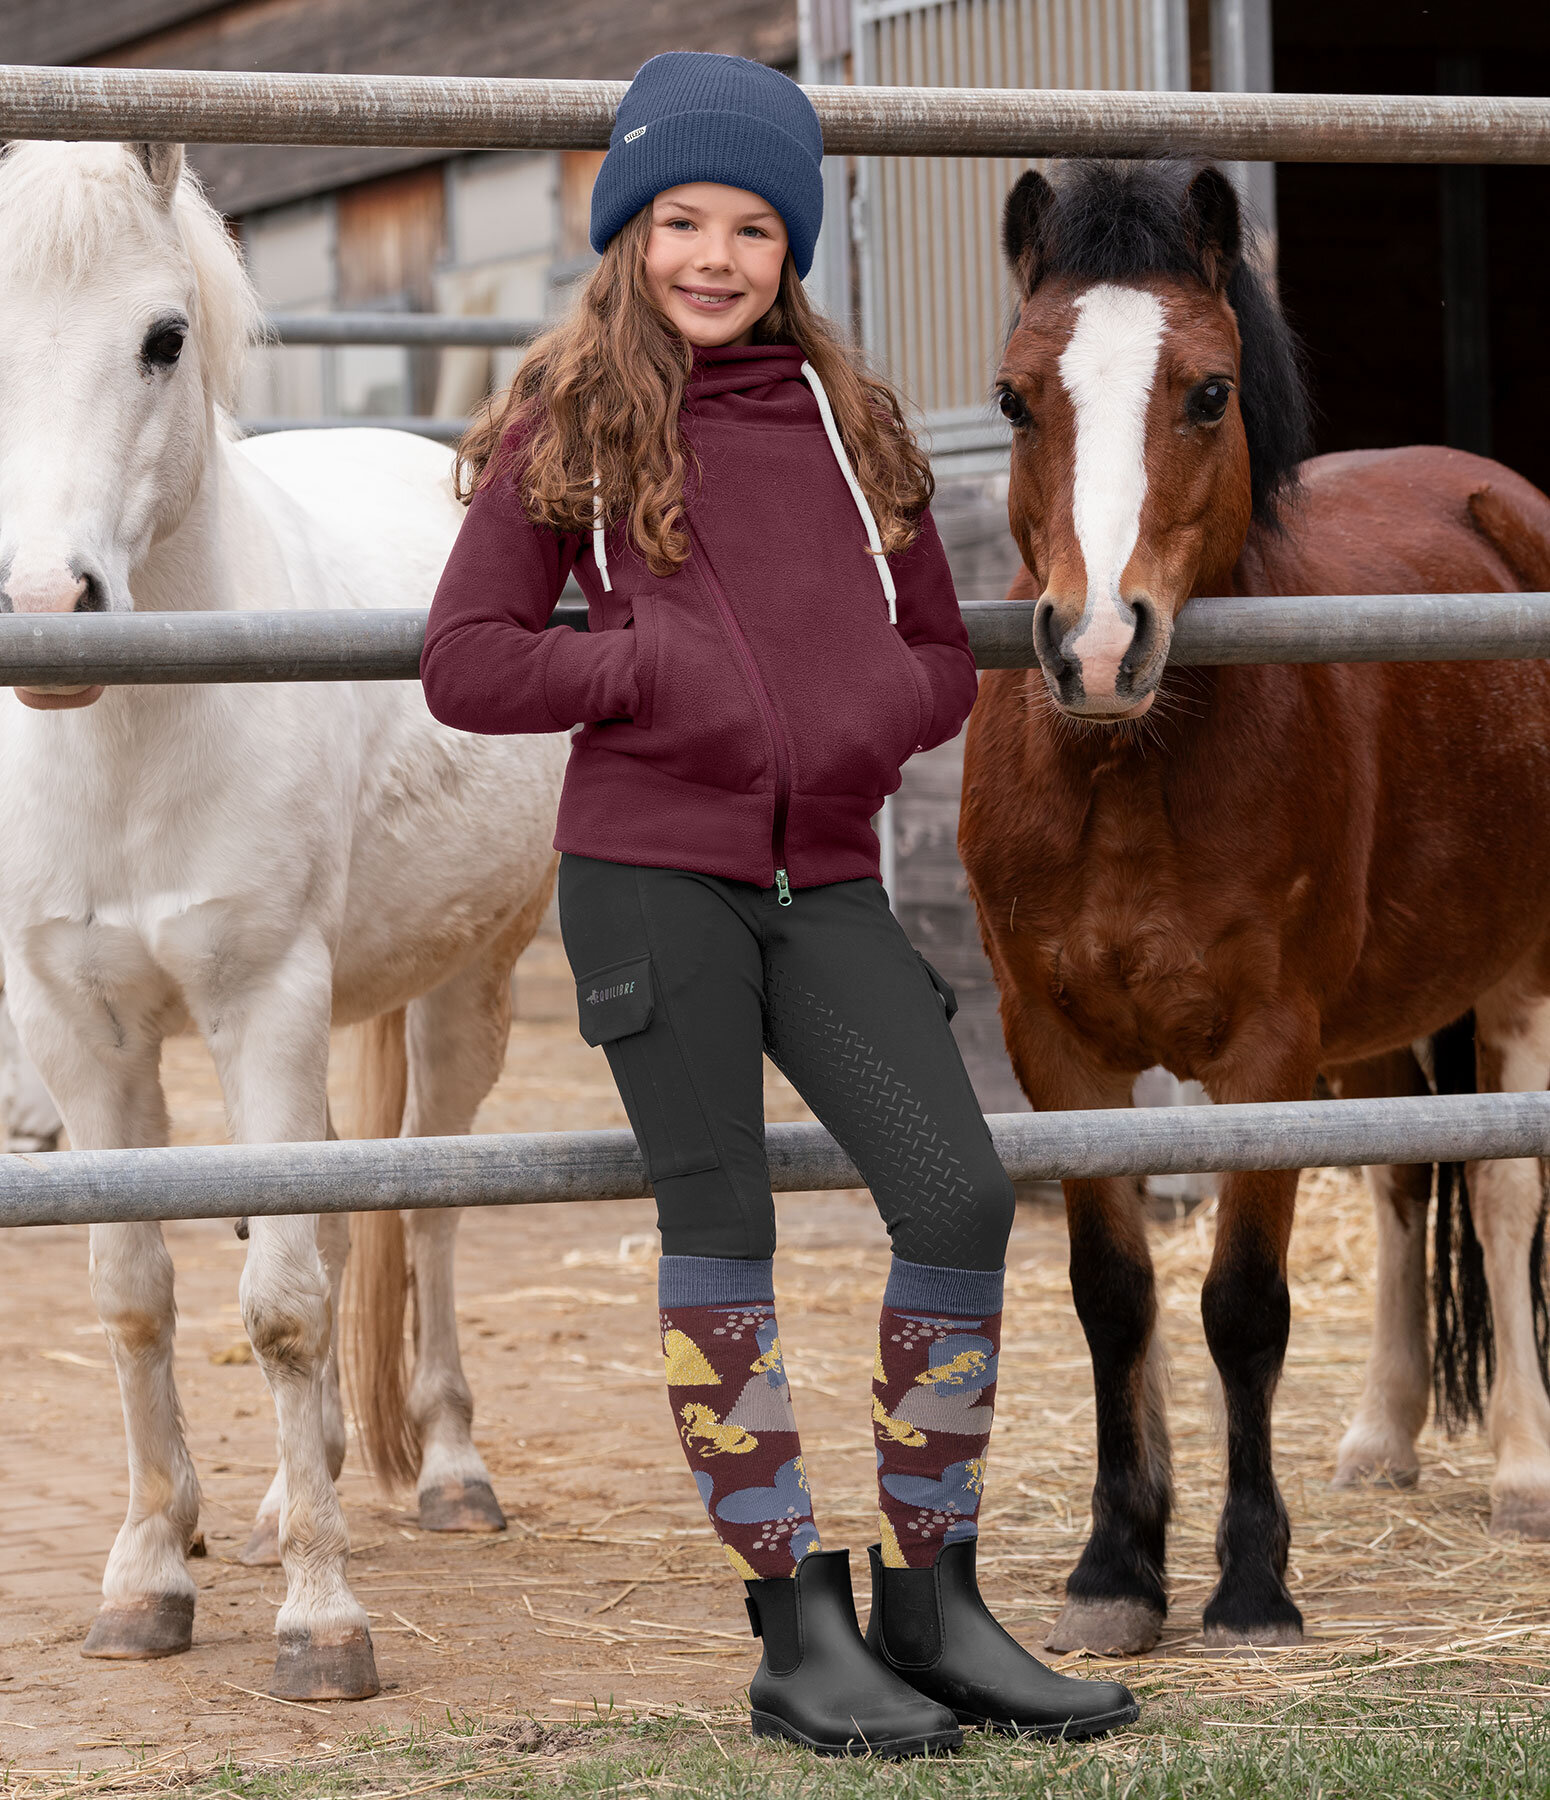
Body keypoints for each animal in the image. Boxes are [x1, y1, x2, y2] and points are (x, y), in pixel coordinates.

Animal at [0, 144, 561, 1699]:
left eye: (162, 337)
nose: (47, 606)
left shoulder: (263, 1006)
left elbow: (287, 1307)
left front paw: (321, 1619)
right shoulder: (79, 1029)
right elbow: (136, 1289)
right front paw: (149, 1572)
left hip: (464, 988)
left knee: (424, 1200)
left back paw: (446, 1472)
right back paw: (258, 1507)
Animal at [964, 162, 1550, 1648]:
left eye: (1208, 391)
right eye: (1013, 396)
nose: (1094, 647)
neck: (1129, 769)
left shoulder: (1264, 1052)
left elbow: (1241, 1307)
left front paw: (1246, 1581)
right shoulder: (1054, 1050)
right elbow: (1111, 1299)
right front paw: (1114, 1571)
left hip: (1517, 975)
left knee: (1503, 1185)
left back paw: (1522, 1469)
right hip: (1376, 1025)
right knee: (1403, 1180)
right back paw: (1379, 1438)